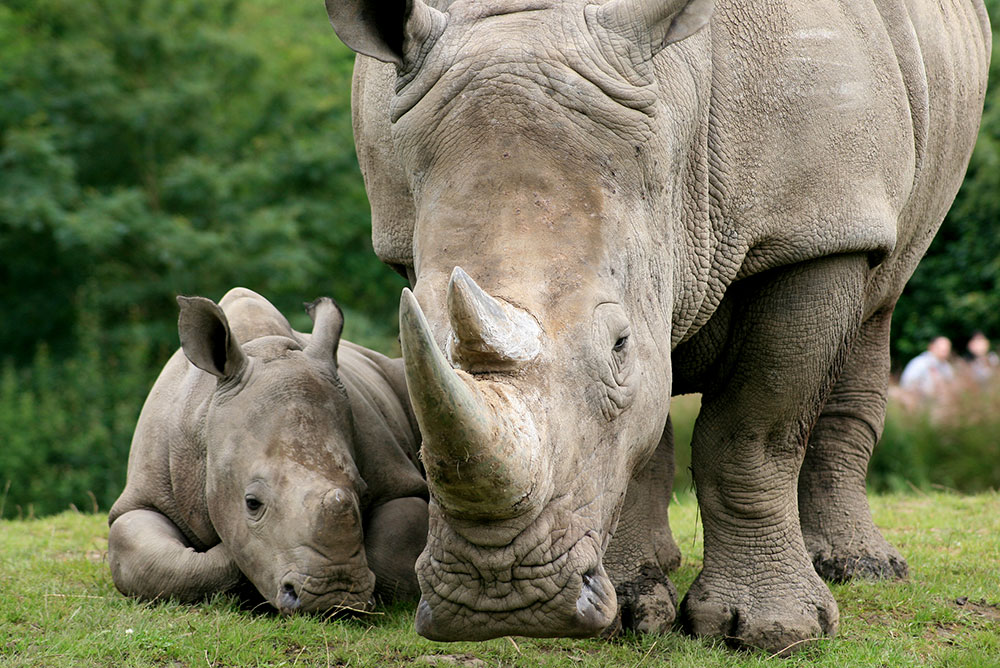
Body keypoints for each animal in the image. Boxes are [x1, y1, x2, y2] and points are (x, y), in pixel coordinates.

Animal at [108, 288, 426, 616]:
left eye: (363, 493)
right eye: (252, 503)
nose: (332, 598)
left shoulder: (400, 486)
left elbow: (390, 550)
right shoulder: (142, 497)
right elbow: (155, 563)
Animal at [330, 0, 992, 652]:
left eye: (618, 346)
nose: (499, 594)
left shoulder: (814, 226)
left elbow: (755, 433)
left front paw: (773, 632)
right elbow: (639, 440)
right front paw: (629, 613)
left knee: (879, 300)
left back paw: (862, 570)